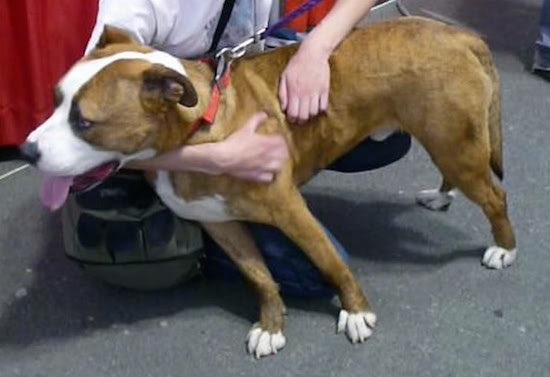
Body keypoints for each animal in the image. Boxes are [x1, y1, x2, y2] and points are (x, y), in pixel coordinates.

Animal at [20, 17, 516, 356]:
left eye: (84, 122)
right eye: (55, 100)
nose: (26, 150)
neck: (198, 128)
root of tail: (456, 33)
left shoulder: (292, 212)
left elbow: (330, 263)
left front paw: (355, 311)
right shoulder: (220, 224)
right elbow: (259, 276)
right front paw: (272, 325)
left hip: (454, 144)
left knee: (495, 196)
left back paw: (503, 248)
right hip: (451, 142)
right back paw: (442, 196)